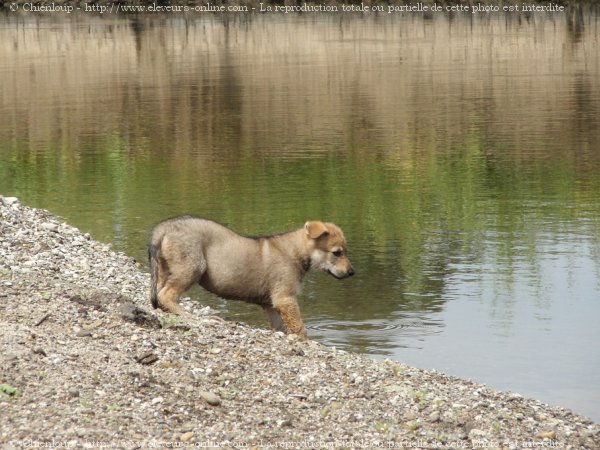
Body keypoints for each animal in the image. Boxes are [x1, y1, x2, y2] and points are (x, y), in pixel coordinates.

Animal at [148, 216, 354, 340]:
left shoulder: (271, 304)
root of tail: (163, 228)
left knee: (159, 294)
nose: (352, 272)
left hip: (165, 270)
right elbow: (300, 327)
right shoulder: (285, 299)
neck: (295, 253)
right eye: (337, 253)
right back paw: (190, 316)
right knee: (167, 295)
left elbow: (281, 326)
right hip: (191, 268)